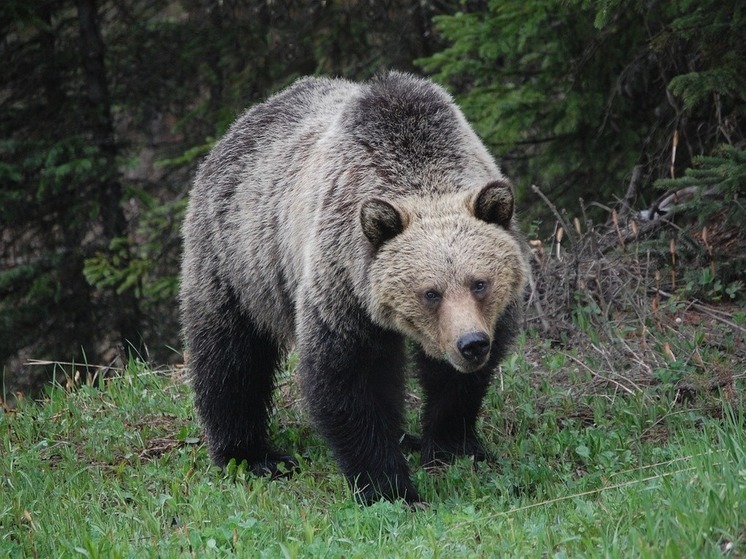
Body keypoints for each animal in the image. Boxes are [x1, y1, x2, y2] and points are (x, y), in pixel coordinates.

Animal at [181, 71, 528, 508]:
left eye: (479, 283)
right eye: (430, 292)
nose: (471, 344)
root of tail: (241, 122)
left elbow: (456, 384)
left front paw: (454, 446)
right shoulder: (343, 284)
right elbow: (351, 379)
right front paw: (390, 487)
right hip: (237, 258)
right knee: (231, 356)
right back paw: (251, 454)